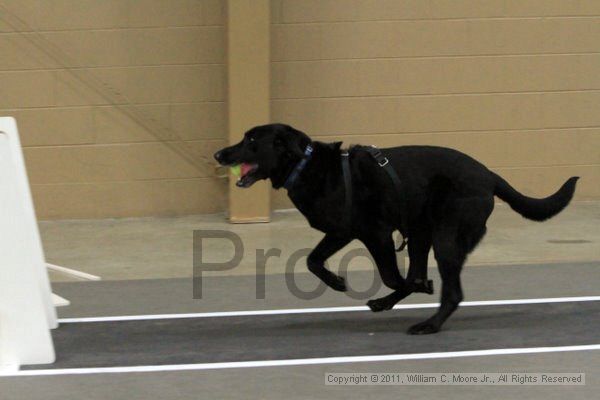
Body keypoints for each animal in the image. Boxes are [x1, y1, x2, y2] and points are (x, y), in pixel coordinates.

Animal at [213, 124, 580, 334]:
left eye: (251, 139)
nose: (218, 153)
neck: (304, 166)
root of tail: (489, 175)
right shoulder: (343, 232)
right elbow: (312, 260)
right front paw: (337, 281)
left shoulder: (375, 234)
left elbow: (393, 275)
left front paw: (417, 287)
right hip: (420, 233)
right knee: (423, 272)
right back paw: (392, 303)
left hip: (445, 238)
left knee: (452, 292)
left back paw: (428, 324)